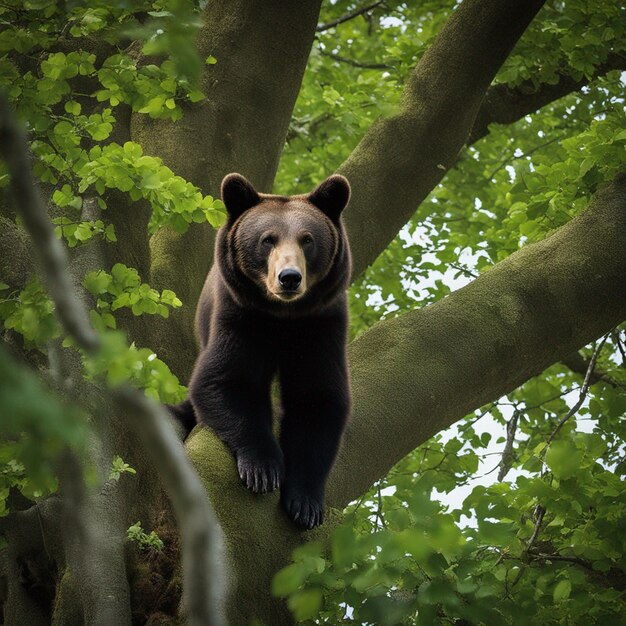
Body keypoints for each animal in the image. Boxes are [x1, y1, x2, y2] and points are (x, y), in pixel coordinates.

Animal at [172, 171, 352, 528]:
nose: (289, 278)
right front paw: (263, 470)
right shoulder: (241, 316)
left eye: (307, 239)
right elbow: (227, 380)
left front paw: (305, 503)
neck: (283, 316)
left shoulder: (320, 324)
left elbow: (317, 397)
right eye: (268, 239)